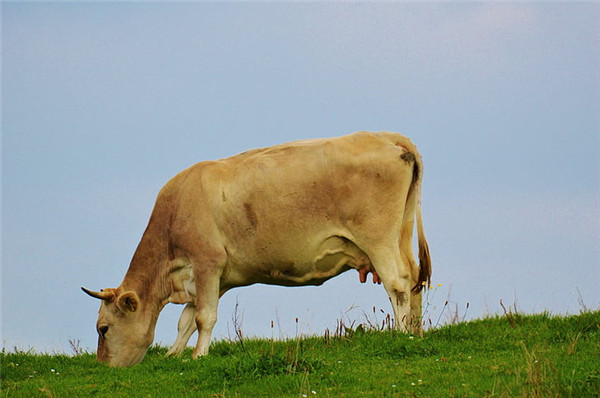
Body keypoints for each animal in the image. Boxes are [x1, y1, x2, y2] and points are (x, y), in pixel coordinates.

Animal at [84, 131, 432, 366]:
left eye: (103, 329)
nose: (104, 367)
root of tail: (388, 137)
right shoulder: (210, 277)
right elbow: (187, 319)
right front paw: (174, 354)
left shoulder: (207, 263)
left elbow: (203, 318)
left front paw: (198, 356)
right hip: (401, 233)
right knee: (414, 278)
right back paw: (416, 332)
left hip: (377, 238)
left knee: (397, 282)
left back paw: (402, 333)